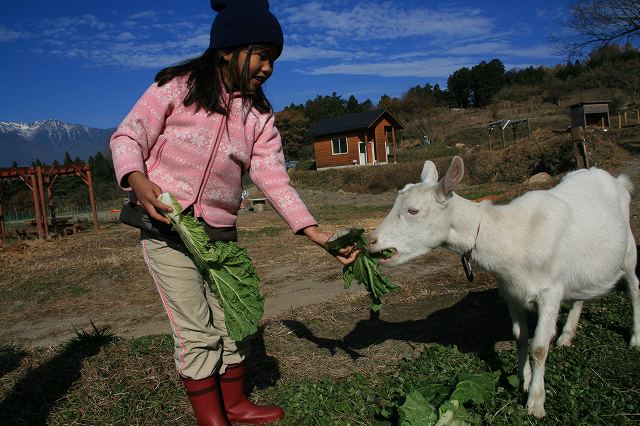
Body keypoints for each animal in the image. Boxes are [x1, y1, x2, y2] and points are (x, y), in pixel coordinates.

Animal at [368, 156, 636, 416]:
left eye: (413, 210)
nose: (371, 240)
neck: (512, 238)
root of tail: (615, 179)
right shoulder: (512, 294)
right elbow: (520, 337)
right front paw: (523, 381)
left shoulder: (550, 292)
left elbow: (539, 347)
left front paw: (535, 403)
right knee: (580, 295)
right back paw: (566, 336)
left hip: (629, 251)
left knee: (634, 288)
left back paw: (635, 338)